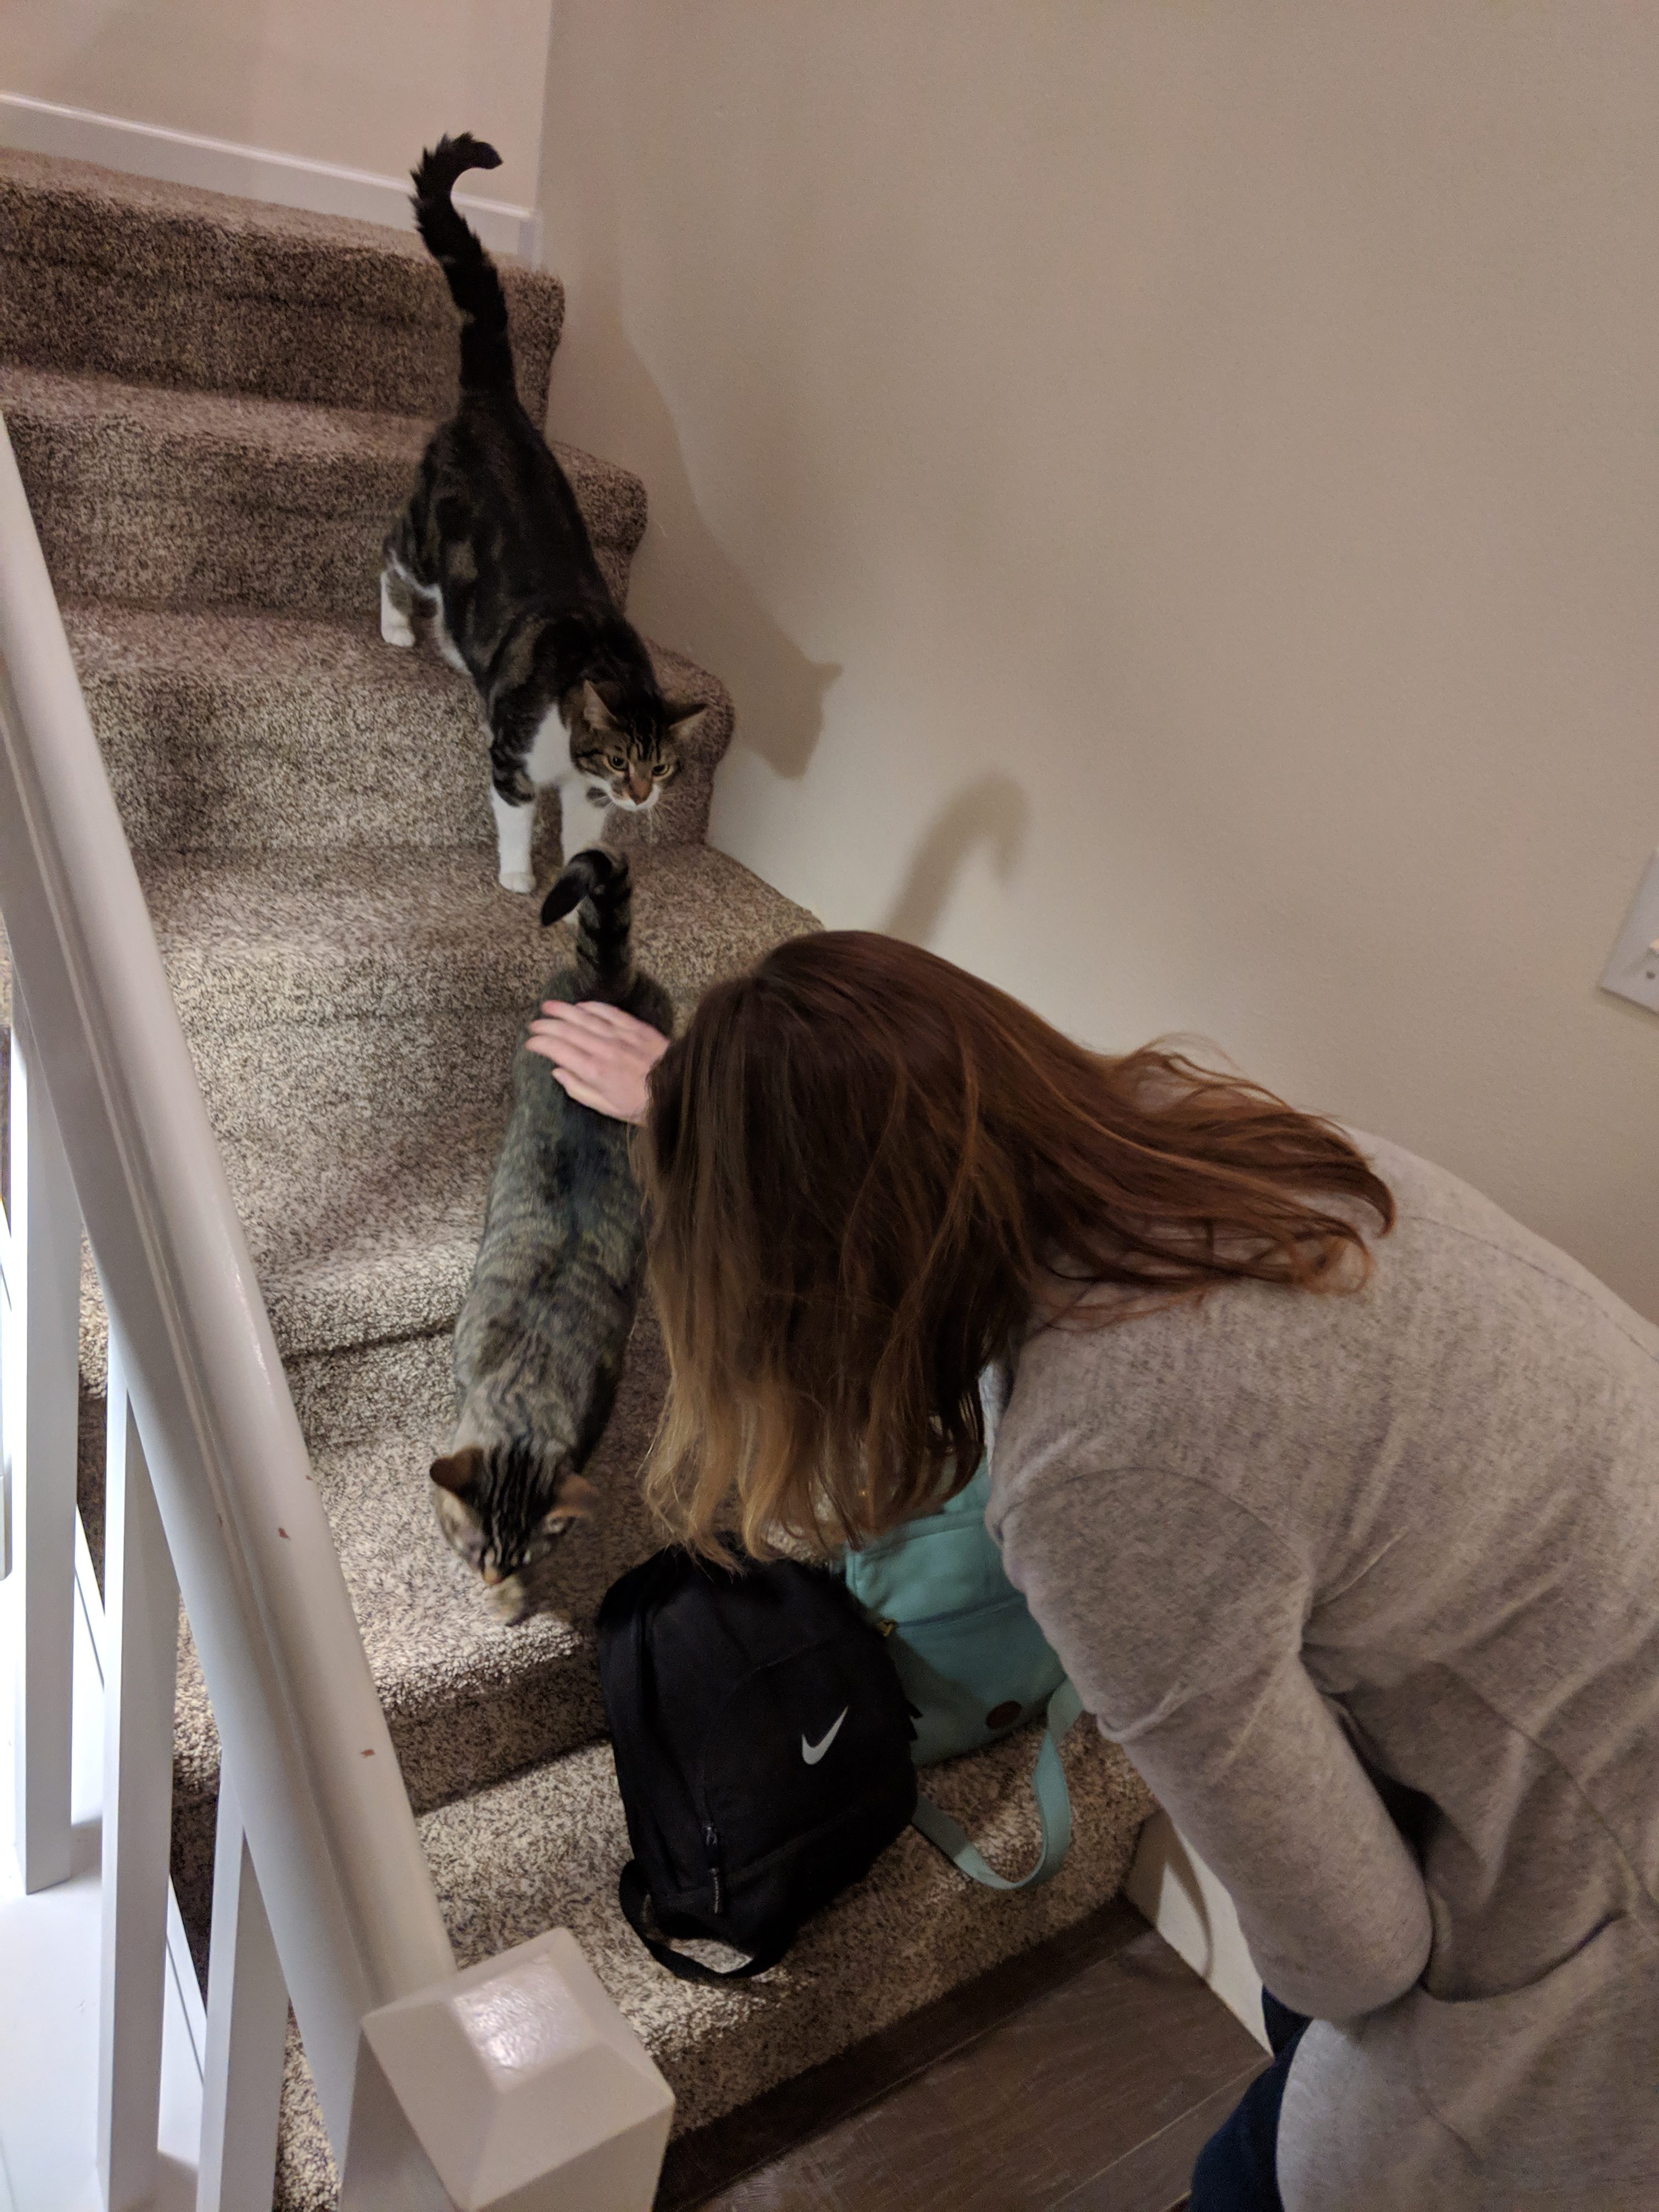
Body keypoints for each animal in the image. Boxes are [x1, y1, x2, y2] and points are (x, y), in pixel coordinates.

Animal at [382, 132, 706, 892]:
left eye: (661, 766)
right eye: (621, 758)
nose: (639, 796)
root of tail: (497, 401)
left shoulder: (590, 797)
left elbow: (584, 832)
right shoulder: (515, 757)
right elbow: (516, 816)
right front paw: (517, 877)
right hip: (427, 540)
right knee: (390, 551)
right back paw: (397, 628)